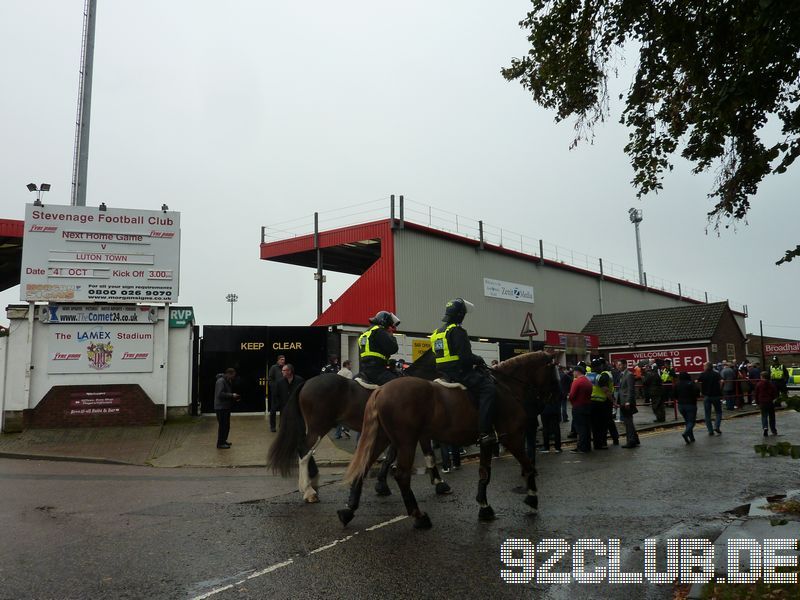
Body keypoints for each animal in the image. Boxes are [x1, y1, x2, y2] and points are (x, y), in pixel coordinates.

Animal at [264, 350, 446, 504]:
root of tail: (307, 383)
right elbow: (425, 455)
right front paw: (440, 483)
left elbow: (395, 457)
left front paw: (382, 485)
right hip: (318, 426)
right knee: (304, 450)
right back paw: (308, 491)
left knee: (306, 449)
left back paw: (313, 481)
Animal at [340, 352, 560, 528]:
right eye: (554, 371)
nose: (554, 397)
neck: (506, 387)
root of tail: (381, 390)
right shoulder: (512, 437)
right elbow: (528, 466)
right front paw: (532, 498)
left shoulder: (487, 441)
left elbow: (484, 473)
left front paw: (484, 507)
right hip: (406, 442)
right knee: (401, 475)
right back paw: (419, 517)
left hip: (382, 438)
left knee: (363, 466)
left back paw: (348, 511)